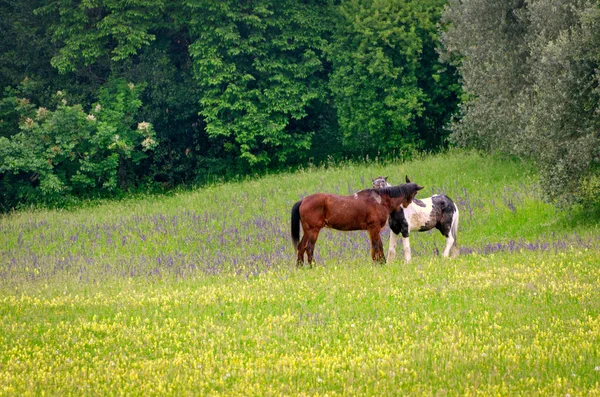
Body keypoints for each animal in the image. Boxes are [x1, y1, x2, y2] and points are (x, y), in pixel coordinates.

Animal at [290, 182, 422, 266]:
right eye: (415, 194)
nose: (407, 205)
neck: (380, 200)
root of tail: (303, 200)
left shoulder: (372, 229)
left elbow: (377, 246)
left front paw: (380, 262)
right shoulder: (374, 228)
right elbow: (377, 246)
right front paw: (378, 263)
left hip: (307, 231)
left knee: (301, 247)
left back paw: (300, 267)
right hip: (313, 231)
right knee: (309, 248)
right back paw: (313, 266)